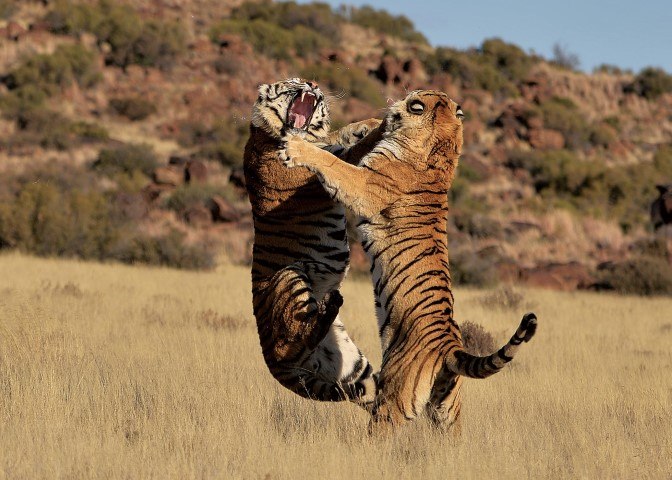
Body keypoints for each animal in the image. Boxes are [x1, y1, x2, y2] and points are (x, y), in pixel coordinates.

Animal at [245, 77, 386, 406]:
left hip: (354, 366)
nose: (312, 83)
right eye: (291, 84)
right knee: (296, 337)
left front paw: (367, 124)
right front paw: (380, 128)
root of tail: (273, 364)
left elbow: (337, 140)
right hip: (289, 277)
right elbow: (342, 157)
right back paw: (330, 303)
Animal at [280, 91, 540, 432]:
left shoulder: (364, 185)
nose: (396, 101)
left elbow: (334, 164)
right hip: (446, 412)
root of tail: (449, 347)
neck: (441, 140)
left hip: (392, 399)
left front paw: (297, 146)